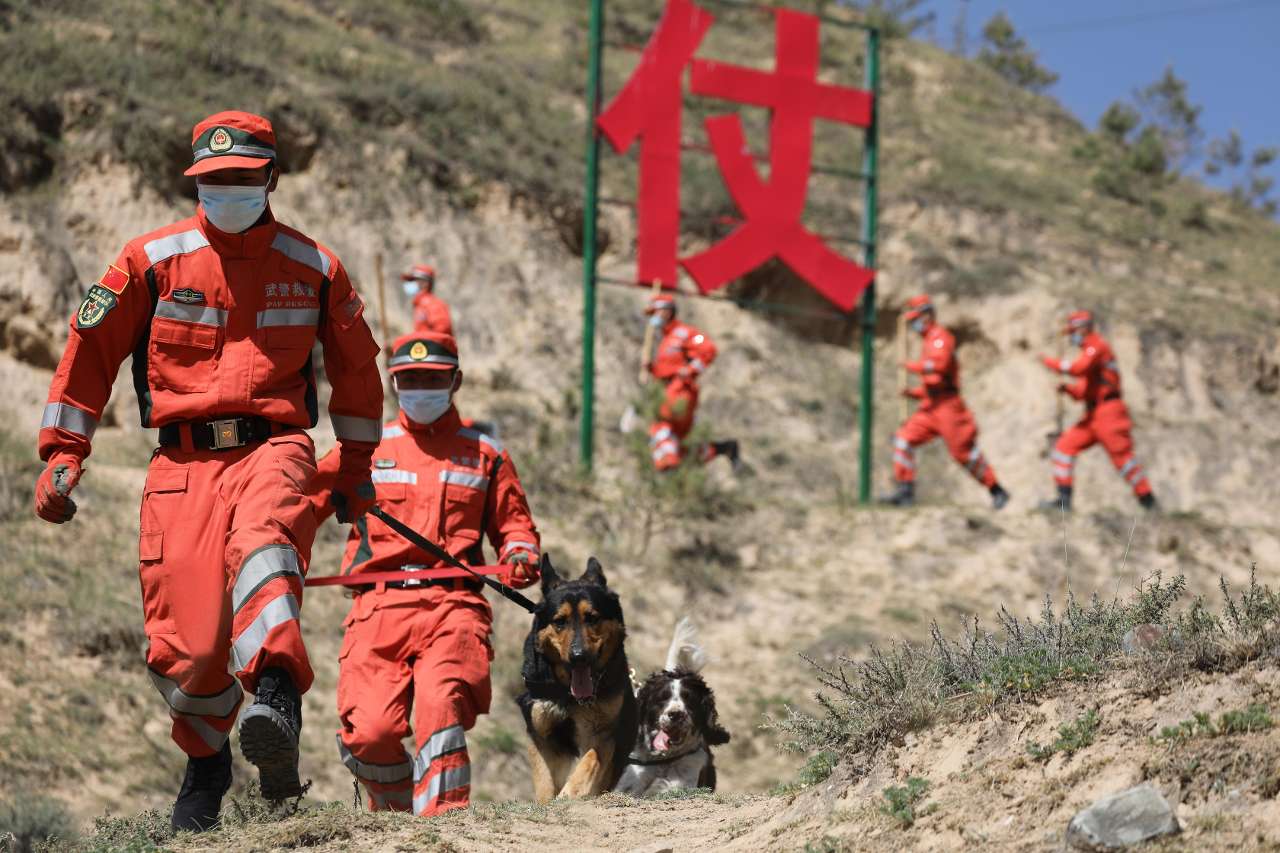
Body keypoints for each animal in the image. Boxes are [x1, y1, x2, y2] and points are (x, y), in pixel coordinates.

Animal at [517, 550, 637, 799]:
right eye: (559, 622)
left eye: (592, 617)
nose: (578, 656)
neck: (567, 693)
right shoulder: (542, 736)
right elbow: (545, 782)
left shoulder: (602, 734)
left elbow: (589, 762)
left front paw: (570, 794)